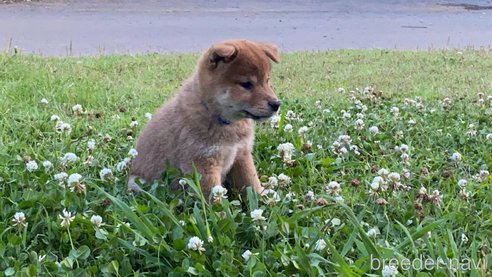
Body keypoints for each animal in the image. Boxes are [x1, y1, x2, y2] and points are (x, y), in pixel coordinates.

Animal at [127, 39, 280, 198]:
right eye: (246, 84)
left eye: (267, 80)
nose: (276, 104)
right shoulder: (203, 163)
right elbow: (212, 195)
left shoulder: (241, 154)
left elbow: (252, 181)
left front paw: (264, 198)